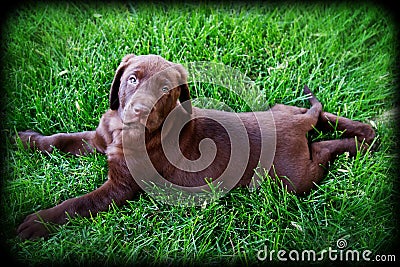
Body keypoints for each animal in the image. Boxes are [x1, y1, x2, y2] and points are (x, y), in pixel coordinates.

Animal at [15, 54, 376, 241]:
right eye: (132, 79)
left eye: (164, 89)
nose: (139, 110)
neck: (123, 132)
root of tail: (299, 125)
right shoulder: (100, 137)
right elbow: (64, 139)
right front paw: (27, 139)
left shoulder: (121, 187)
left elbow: (78, 204)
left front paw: (37, 223)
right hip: (286, 110)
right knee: (321, 115)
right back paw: (367, 132)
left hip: (294, 178)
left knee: (323, 150)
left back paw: (359, 142)